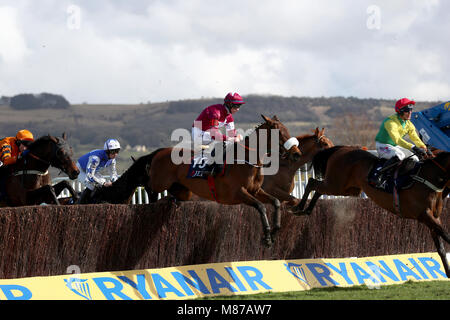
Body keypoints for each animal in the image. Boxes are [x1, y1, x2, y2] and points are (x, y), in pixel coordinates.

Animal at [148, 115, 302, 248]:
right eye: (280, 132)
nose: (297, 154)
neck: (247, 161)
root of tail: (160, 152)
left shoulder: (256, 190)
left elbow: (276, 202)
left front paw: (274, 232)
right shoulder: (238, 193)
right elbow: (261, 206)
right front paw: (267, 237)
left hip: (183, 191)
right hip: (159, 182)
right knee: (149, 186)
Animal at [294, 146, 448, 278]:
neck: (428, 178)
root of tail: (341, 148)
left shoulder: (433, 218)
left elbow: (440, 246)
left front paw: (447, 271)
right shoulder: (424, 215)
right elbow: (446, 235)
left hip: (346, 189)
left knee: (318, 190)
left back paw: (306, 209)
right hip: (335, 184)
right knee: (312, 182)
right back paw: (297, 208)